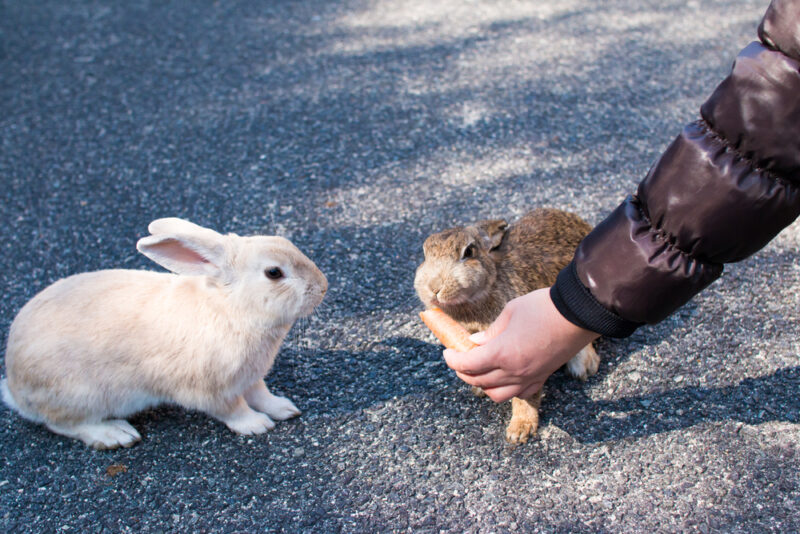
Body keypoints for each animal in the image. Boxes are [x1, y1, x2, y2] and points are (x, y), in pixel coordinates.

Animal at [0, 216, 324, 450]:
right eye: (274, 273)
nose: (323, 287)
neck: (233, 307)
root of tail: (15, 387)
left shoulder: (250, 377)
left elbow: (261, 394)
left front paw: (284, 408)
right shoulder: (211, 388)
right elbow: (233, 410)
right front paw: (257, 424)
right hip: (81, 395)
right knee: (62, 423)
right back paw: (115, 434)